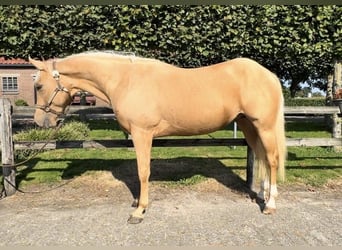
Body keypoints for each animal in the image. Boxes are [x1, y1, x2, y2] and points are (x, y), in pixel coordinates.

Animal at [28, 51, 286, 224]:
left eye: (39, 86)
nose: (40, 121)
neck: (125, 80)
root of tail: (268, 75)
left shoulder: (142, 133)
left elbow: (143, 172)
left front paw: (139, 211)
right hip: (247, 125)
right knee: (263, 157)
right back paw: (262, 196)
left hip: (263, 126)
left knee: (272, 159)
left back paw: (271, 204)